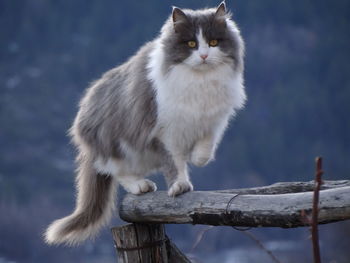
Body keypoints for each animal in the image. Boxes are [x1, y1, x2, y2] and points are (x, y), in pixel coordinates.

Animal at [44, 1, 246, 248]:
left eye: (214, 42)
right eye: (191, 44)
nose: (205, 55)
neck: (200, 81)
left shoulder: (214, 120)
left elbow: (204, 150)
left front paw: (196, 157)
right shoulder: (164, 131)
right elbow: (174, 163)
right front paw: (180, 186)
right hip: (118, 145)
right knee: (113, 168)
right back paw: (140, 186)